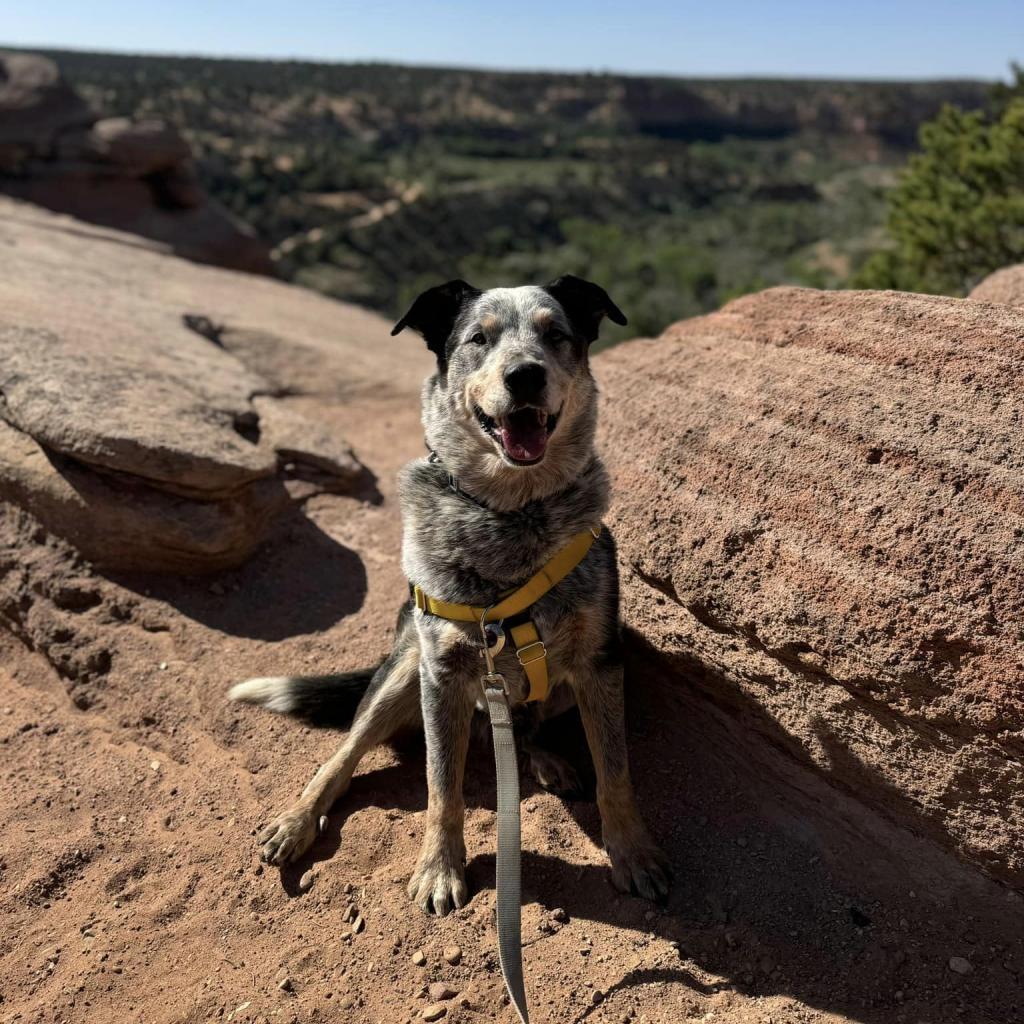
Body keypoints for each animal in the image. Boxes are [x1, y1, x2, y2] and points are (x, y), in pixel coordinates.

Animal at [228, 276, 667, 917]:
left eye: (556, 334)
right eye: (477, 338)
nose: (525, 375)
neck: (512, 514)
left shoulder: (600, 664)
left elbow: (617, 774)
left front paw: (633, 854)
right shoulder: (441, 672)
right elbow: (442, 787)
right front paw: (439, 868)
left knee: (525, 728)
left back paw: (547, 759)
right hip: (402, 670)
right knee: (343, 755)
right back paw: (297, 820)